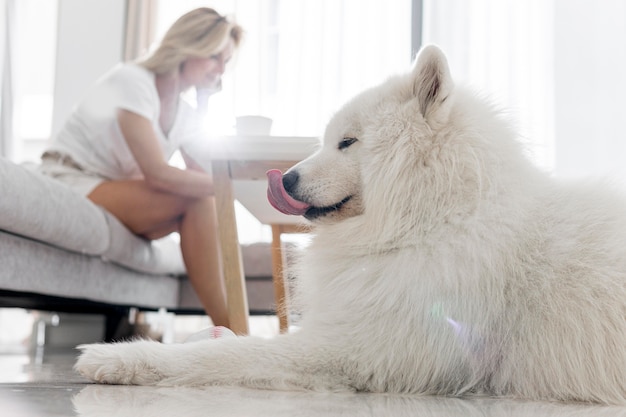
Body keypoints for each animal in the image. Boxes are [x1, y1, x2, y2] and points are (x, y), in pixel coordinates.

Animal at [74, 45, 624, 404]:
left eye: (347, 142)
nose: (287, 177)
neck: (438, 216)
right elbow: (236, 341)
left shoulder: (358, 350)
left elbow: (231, 357)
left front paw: (117, 358)